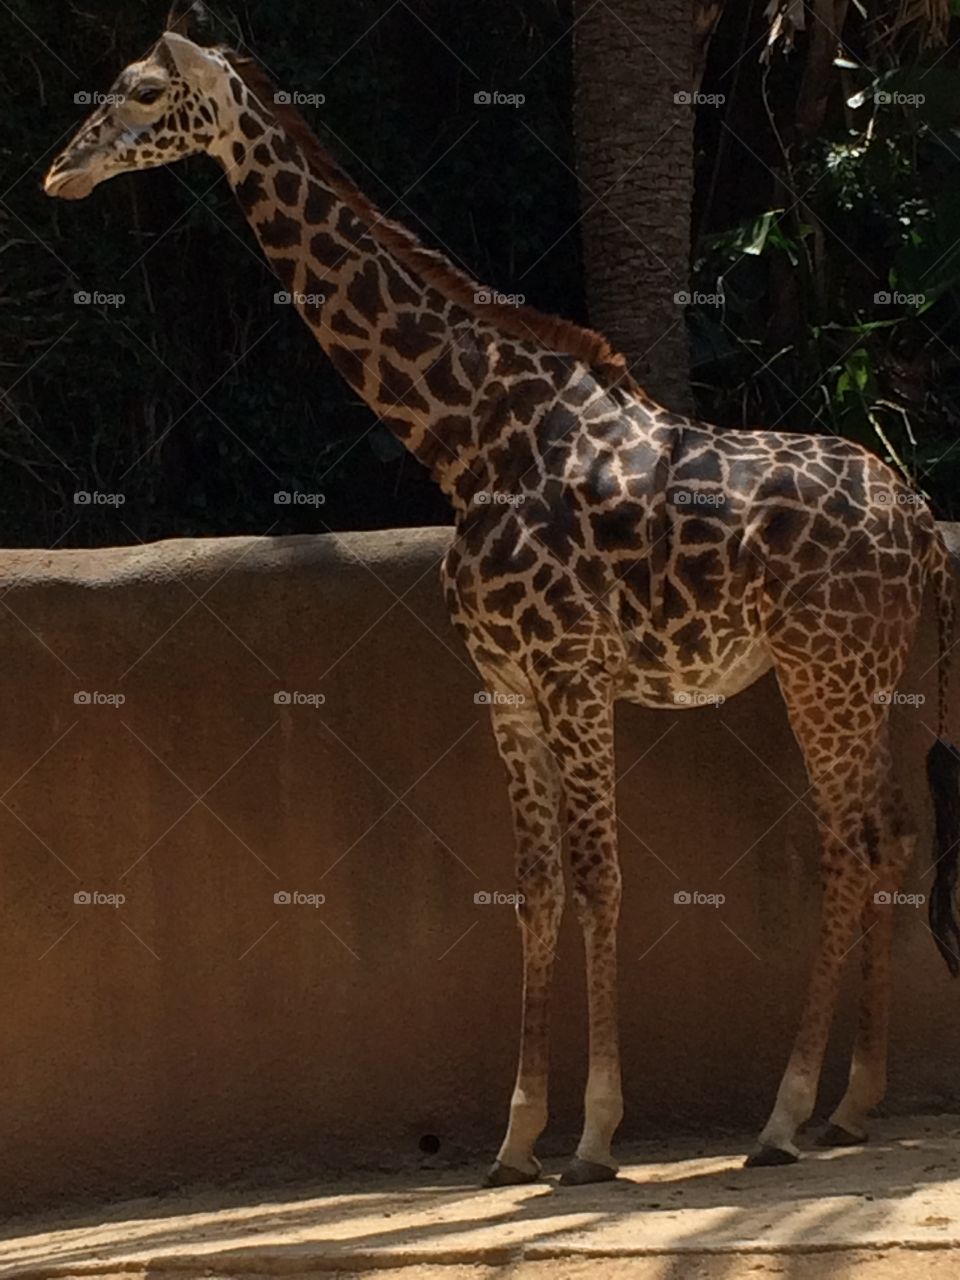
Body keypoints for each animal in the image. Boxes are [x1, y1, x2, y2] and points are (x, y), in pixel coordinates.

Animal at [45, 5, 960, 1185]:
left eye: (147, 91)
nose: (62, 173)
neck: (468, 436)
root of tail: (918, 518)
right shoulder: (508, 682)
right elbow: (534, 885)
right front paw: (517, 1136)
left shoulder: (573, 668)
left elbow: (601, 874)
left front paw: (597, 1135)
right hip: (871, 674)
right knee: (889, 834)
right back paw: (852, 1104)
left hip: (823, 670)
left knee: (849, 843)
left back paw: (783, 1115)